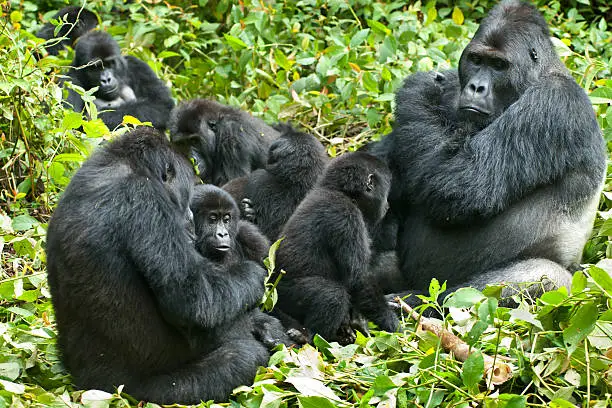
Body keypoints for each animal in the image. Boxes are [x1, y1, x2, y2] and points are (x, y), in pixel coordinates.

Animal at [46, 128, 280, 404]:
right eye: (186, 193)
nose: (189, 218)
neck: (124, 165)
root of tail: (83, 383)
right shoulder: (146, 199)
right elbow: (195, 300)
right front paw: (255, 276)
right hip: (143, 392)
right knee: (243, 357)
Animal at [274, 153, 400, 344]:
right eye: (385, 192)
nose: (387, 206)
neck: (342, 193)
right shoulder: (346, 216)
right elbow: (358, 278)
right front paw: (390, 321)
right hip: (283, 294)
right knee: (332, 295)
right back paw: (310, 337)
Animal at [368, 0, 608, 304]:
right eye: (476, 60)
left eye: (498, 65)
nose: (476, 87)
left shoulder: (555, 102)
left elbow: (461, 184)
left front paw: (419, 89)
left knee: (535, 279)